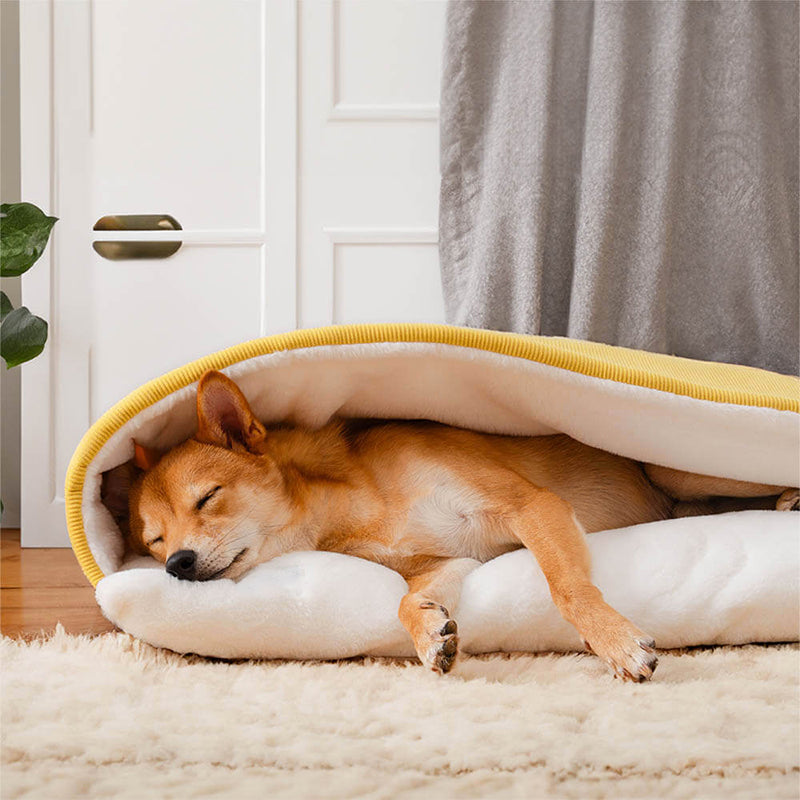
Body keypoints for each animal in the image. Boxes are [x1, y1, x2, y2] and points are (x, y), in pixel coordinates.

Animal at [101, 370, 800, 680]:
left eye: (207, 498)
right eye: (154, 542)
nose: (176, 565)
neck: (356, 504)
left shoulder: (532, 507)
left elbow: (567, 589)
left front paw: (616, 643)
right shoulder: (444, 562)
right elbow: (408, 601)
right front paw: (430, 636)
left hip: (674, 463)